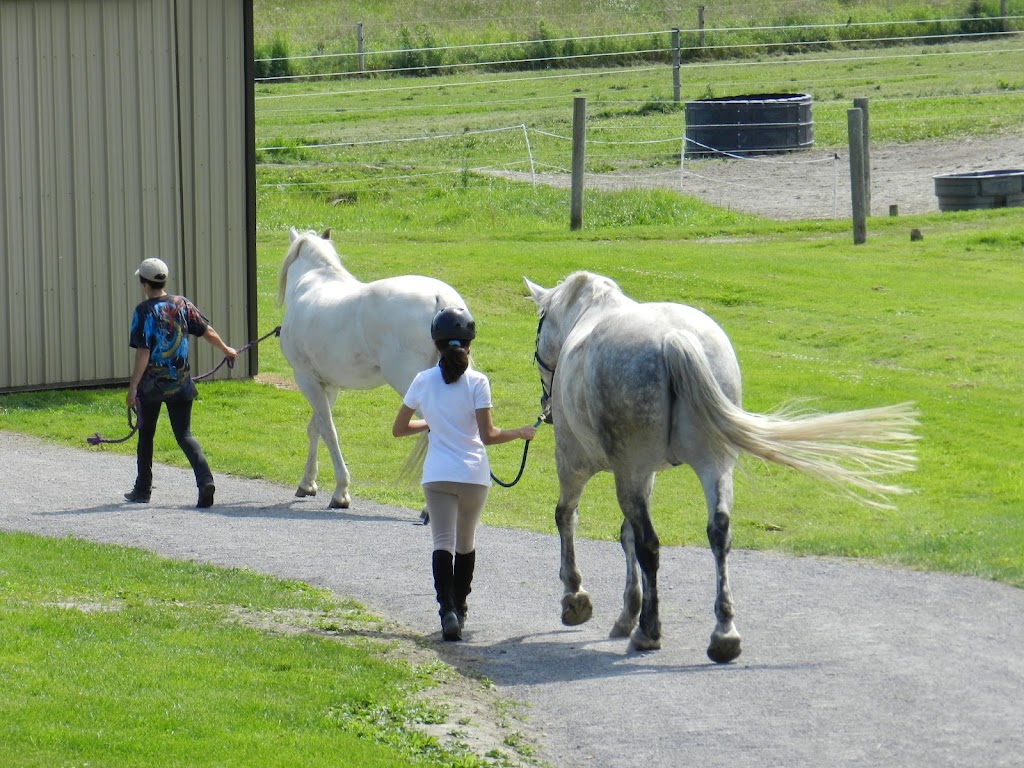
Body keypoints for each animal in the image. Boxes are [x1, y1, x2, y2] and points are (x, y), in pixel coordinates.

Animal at [280, 228, 468, 512]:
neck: (312, 282)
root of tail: (440, 298)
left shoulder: (306, 379)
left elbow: (328, 430)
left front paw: (340, 492)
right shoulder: (328, 385)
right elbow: (316, 429)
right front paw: (308, 483)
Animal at [524, 270, 917, 663]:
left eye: (539, 327)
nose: (545, 402)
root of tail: (672, 338)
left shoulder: (579, 462)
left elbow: (568, 517)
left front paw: (576, 597)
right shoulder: (644, 473)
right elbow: (626, 535)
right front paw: (626, 613)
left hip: (631, 470)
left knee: (650, 545)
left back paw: (649, 632)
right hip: (712, 466)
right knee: (719, 531)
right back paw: (723, 633)